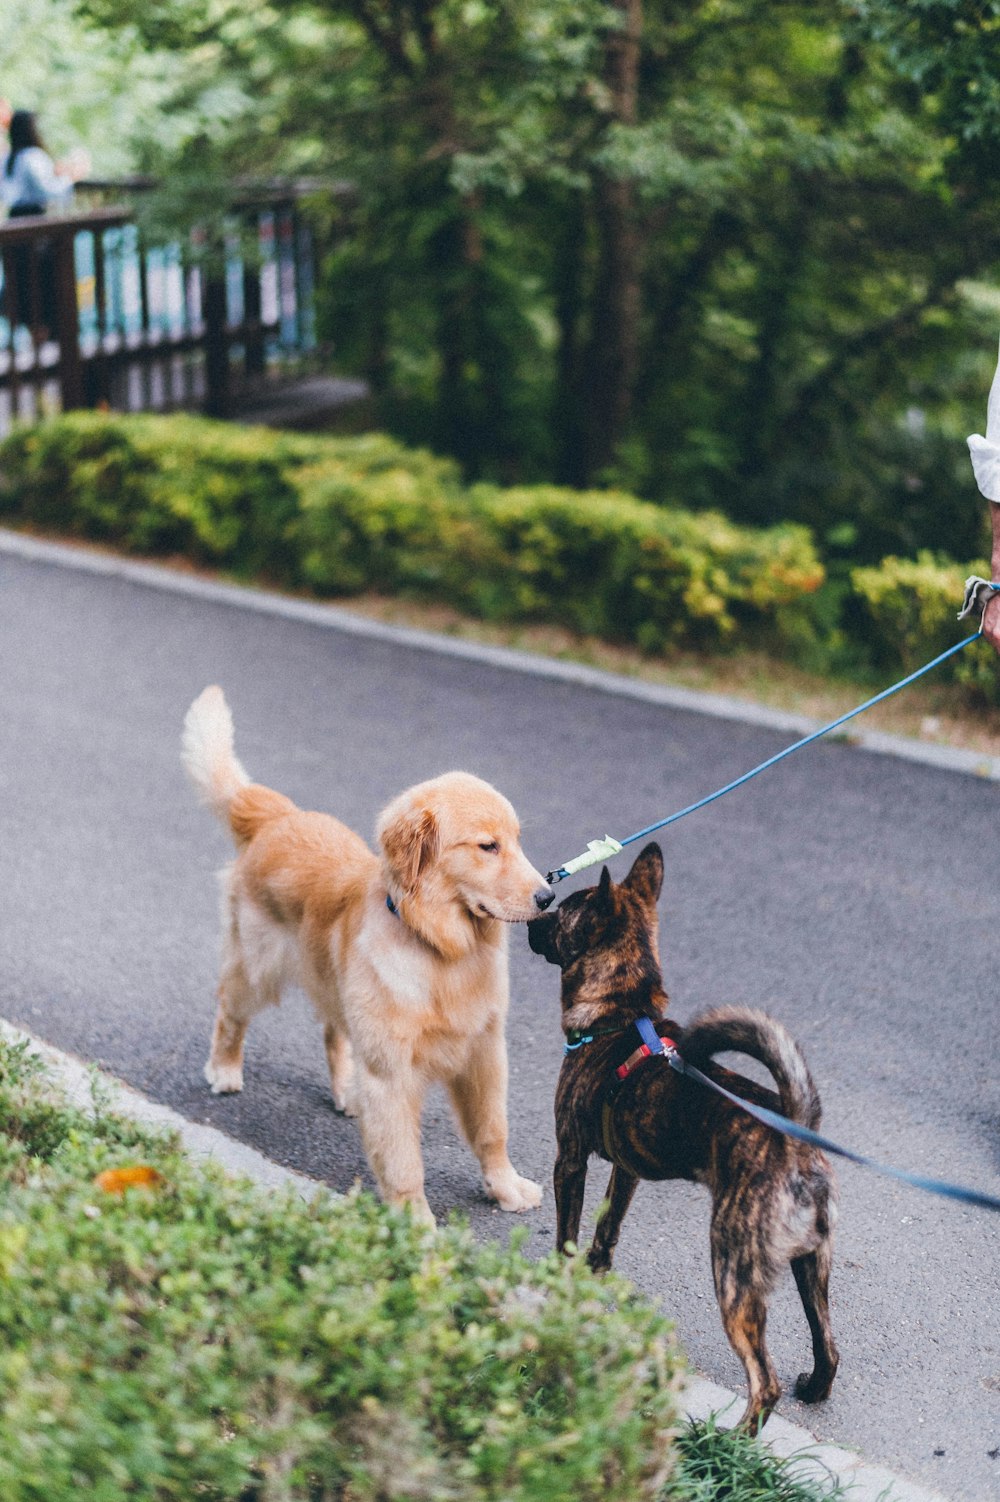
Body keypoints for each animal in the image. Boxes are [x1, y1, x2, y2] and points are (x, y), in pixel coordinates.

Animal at [183, 687, 549, 1225]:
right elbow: (402, 1161)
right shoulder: (392, 1072)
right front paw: (415, 1225)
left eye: (517, 841)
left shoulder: (484, 1051)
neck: (440, 948)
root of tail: (279, 817)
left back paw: (347, 1090)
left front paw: (505, 1187)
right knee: (230, 1012)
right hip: (257, 969)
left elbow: (492, 1130)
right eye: (487, 846)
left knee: (334, 1032)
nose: (549, 897)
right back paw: (225, 1068)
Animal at [525, 847, 834, 1429]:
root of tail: (796, 1137)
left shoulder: (570, 1160)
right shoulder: (626, 1170)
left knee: (764, 1382)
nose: (533, 919)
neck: (620, 1015)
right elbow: (607, 1228)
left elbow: (568, 1234)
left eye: (562, 916)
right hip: (813, 1265)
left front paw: (561, 1284)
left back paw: (729, 1440)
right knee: (828, 1345)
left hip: (733, 1271)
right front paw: (596, 1273)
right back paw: (813, 1388)